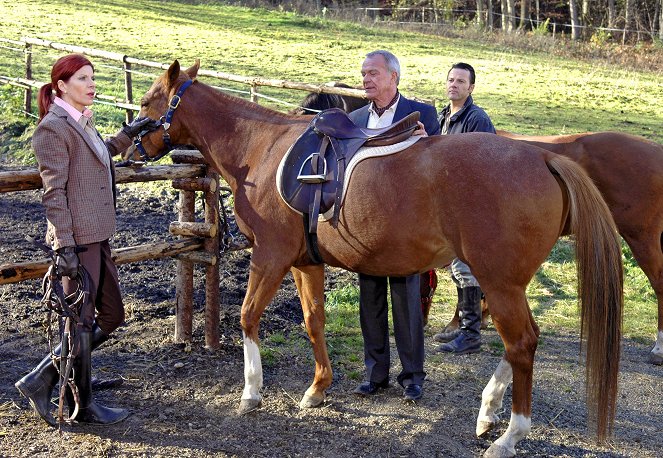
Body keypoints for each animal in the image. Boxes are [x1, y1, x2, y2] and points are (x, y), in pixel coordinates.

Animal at [127, 60, 624, 454]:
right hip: (510, 284)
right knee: (522, 342)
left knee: (521, 344)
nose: (122, 143)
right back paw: (488, 413)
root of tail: (543, 158)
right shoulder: (306, 262)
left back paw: (508, 436)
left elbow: (249, 317)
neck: (262, 150)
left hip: (499, 283)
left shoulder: (269, 256)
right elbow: (314, 321)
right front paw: (318, 388)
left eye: (150, 100)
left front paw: (251, 392)